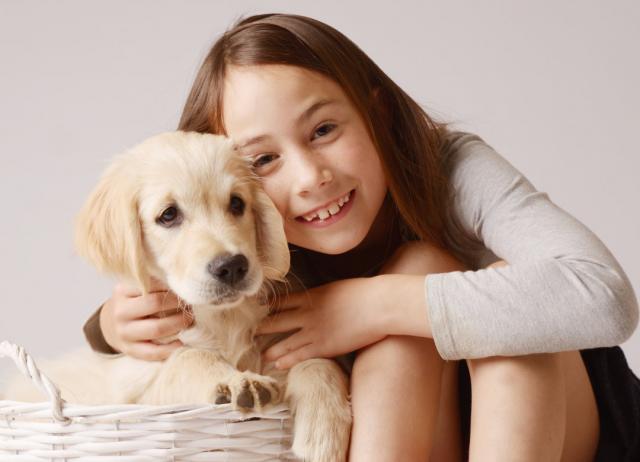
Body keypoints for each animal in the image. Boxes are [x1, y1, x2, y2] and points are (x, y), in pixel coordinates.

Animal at [3, 131, 350, 462]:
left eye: (237, 204)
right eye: (168, 215)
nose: (232, 267)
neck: (221, 318)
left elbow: (317, 361)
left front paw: (324, 432)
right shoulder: (137, 397)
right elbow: (188, 356)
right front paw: (236, 382)